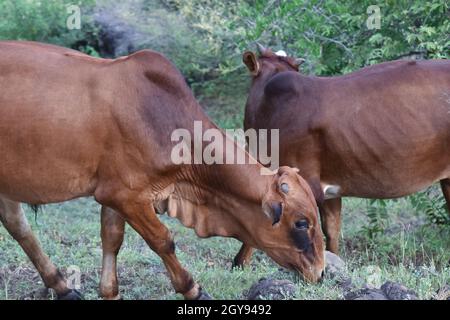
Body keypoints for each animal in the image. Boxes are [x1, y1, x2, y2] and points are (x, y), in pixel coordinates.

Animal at [0, 40, 324, 300]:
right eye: (302, 223)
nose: (320, 273)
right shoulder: (125, 195)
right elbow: (163, 241)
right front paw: (193, 289)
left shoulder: (116, 193)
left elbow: (112, 239)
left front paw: (109, 292)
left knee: (18, 226)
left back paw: (62, 286)